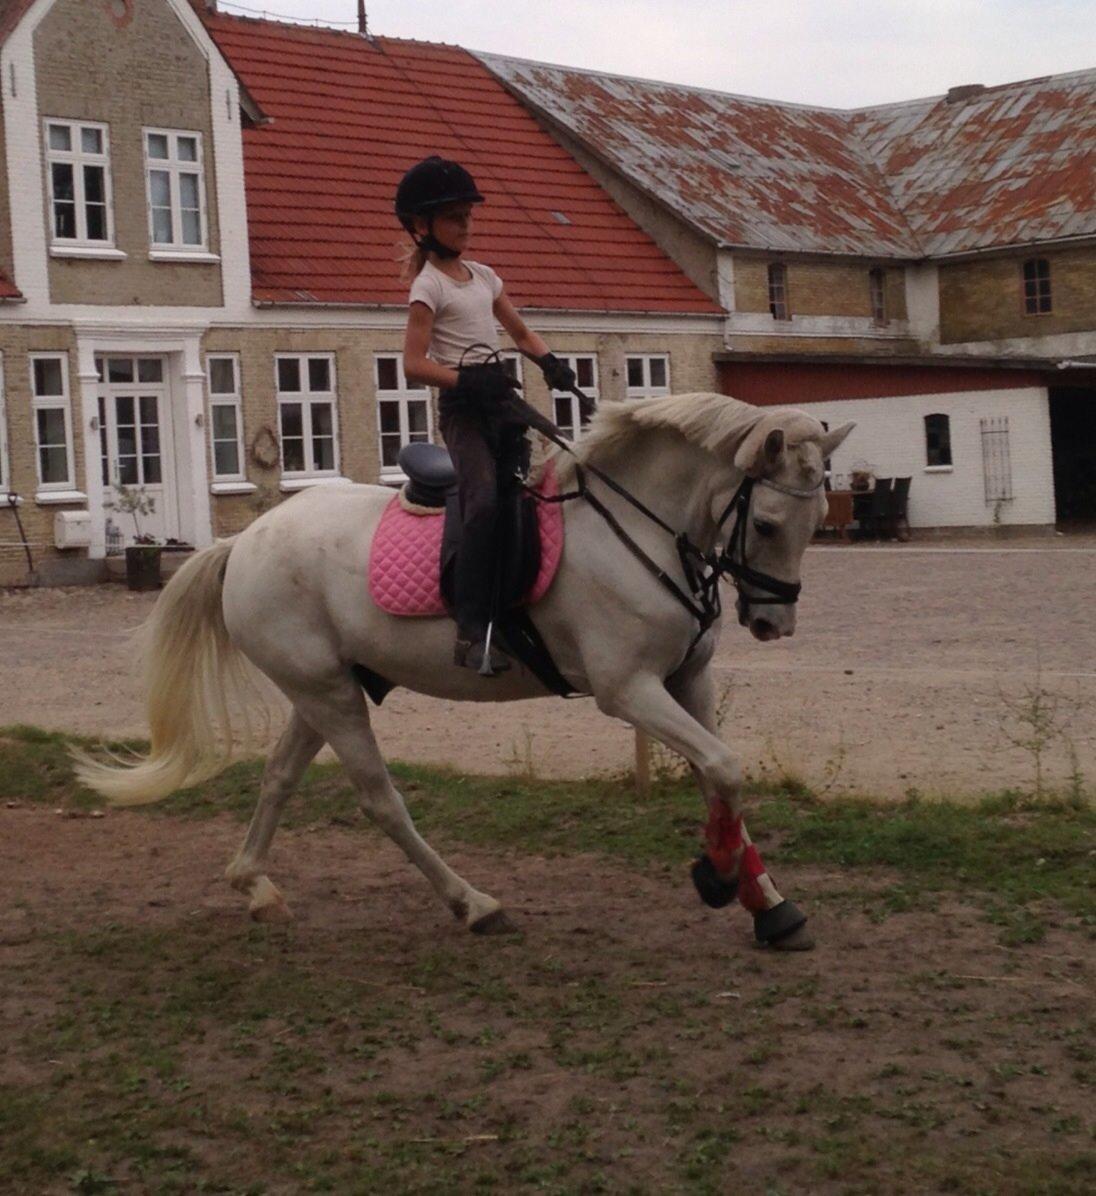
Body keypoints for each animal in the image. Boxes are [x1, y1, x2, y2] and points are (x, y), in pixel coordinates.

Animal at [75, 393, 853, 950]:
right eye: (769, 525)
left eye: (817, 519)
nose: (774, 624)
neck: (641, 529)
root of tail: (245, 541)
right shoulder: (628, 691)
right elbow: (723, 768)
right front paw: (717, 877)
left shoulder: (689, 681)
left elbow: (718, 775)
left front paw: (767, 904)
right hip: (329, 694)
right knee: (380, 801)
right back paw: (472, 904)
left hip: (321, 688)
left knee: (279, 778)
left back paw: (256, 887)